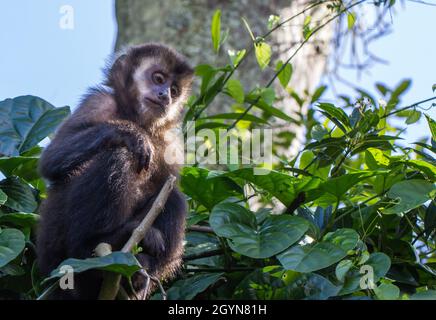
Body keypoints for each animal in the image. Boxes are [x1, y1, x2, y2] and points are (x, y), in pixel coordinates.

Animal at [36, 43, 193, 300]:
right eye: (158, 78)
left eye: (175, 90)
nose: (166, 96)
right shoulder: (98, 102)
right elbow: (52, 159)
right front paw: (131, 134)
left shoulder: (171, 143)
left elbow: (168, 186)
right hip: (55, 247)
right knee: (119, 155)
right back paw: (100, 243)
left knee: (173, 196)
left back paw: (137, 271)